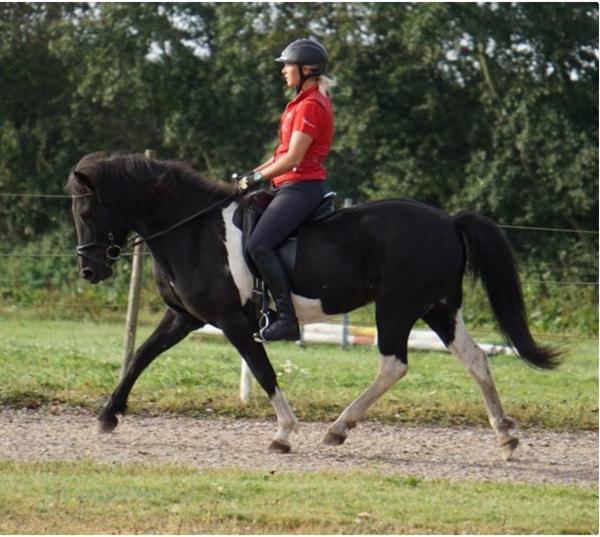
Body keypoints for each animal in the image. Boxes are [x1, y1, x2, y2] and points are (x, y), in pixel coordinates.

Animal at [64, 151, 556, 460]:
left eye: (87, 212)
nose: (89, 270)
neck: (194, 231)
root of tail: (448, 220)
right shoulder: (184, 316)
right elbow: (142, 355)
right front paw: (108, 415)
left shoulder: (232, 320)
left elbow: (262, 370)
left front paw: (284, 433)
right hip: (439, 308)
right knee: (475, 359)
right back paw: (505, 436)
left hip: (396, 307)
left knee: (393, 364)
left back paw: (338, 428)